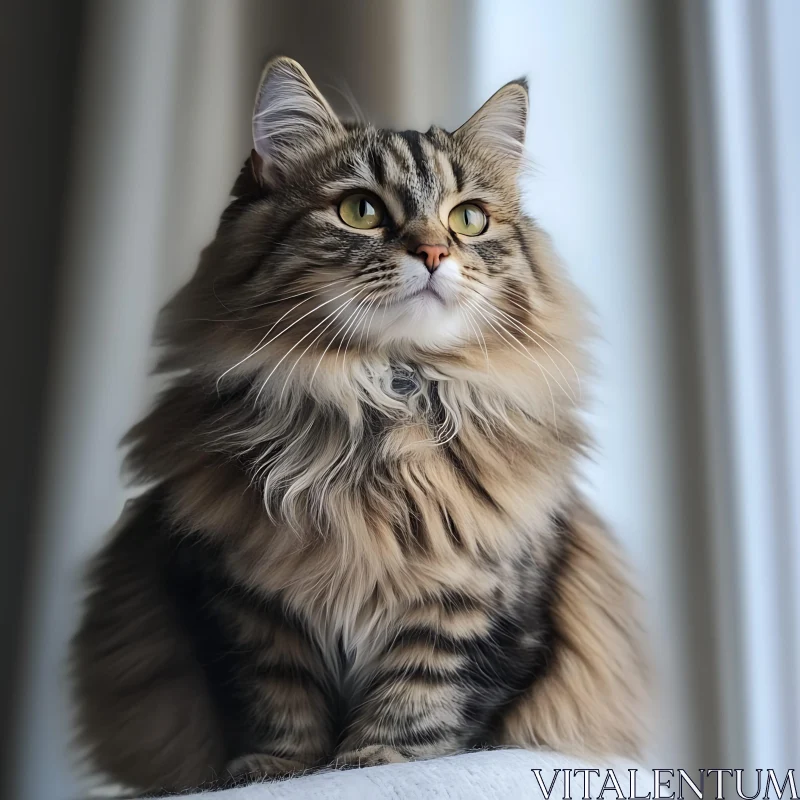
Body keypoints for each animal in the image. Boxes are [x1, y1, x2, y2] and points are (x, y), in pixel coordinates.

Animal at [69, 57, 648, 792]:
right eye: (361, 211)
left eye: (469, 219)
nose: (434, 254)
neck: (378, 411)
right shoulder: (245, 606)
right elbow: (274, 700)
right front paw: (278, 773)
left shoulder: (473, 609)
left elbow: (423, 700)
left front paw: (374, 763)